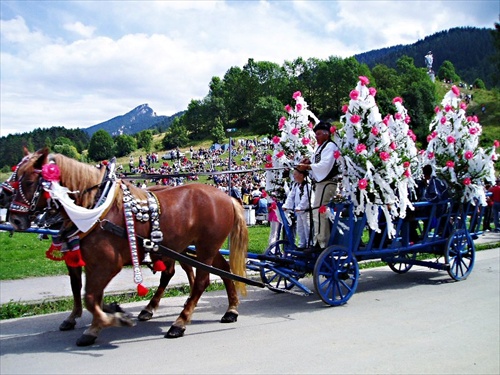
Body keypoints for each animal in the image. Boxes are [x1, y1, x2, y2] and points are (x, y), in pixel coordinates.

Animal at [8, 149, 247, 346]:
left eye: (28, 182)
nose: (15, 219)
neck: (96, 209)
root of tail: (225, 196)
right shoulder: (87, 261)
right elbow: (86, 292)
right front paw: (106, 314)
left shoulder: (106, 263)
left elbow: (90, 297)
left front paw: (102, 324)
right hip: (203, 246)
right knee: (222, 269)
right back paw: (231, 309)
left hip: (206, 246)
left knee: (201, 281)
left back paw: (179, 322)